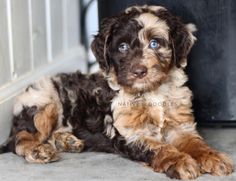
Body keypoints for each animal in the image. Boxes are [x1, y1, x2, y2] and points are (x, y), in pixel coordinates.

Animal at [0, 4, 232, 180]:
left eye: (155, 43)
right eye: (122, 47)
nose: (139, 71)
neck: (151, 92)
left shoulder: (181, 125)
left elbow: (195, 143)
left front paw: (213, 157)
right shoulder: (132, 133)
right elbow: (159, 148)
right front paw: (180, 162)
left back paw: (66, 141)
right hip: (45, 103)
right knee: (21, 138)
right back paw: (38, 150)